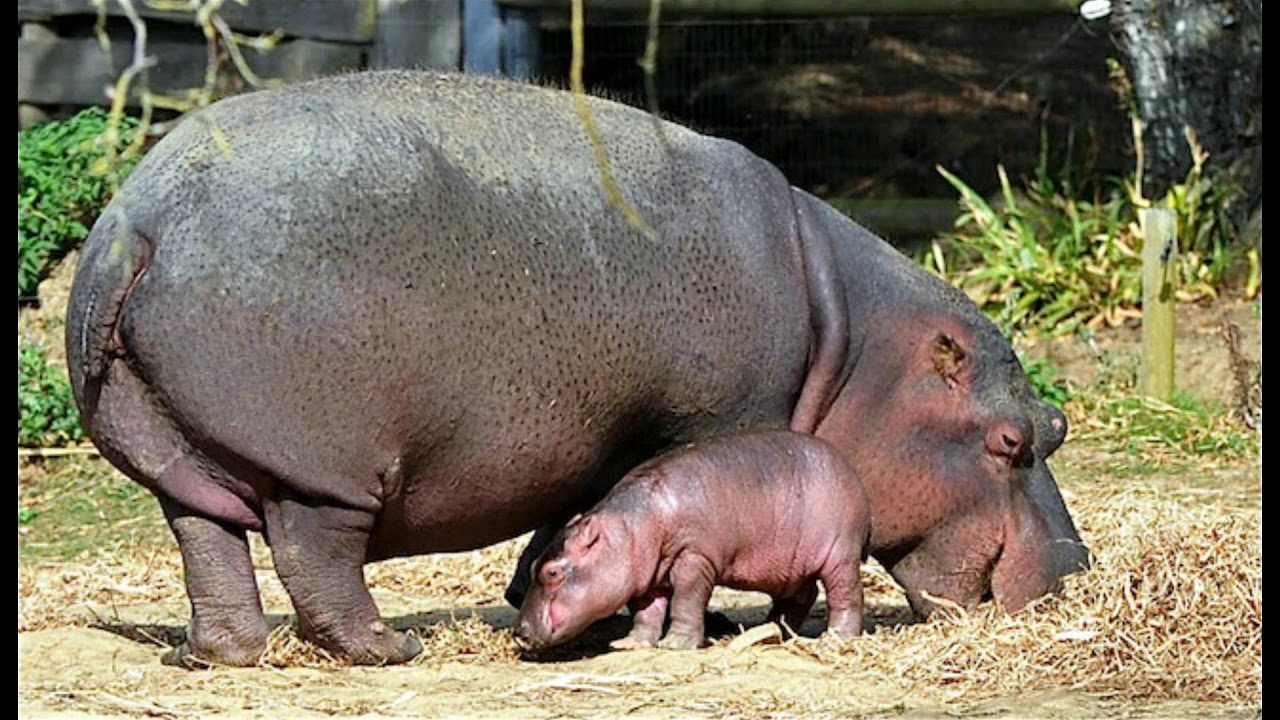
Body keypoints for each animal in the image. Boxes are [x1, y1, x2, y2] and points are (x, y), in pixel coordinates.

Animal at [512, 425, 870, 650]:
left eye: (553, 572)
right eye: (532, 568)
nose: (519, 632)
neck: (628, 529)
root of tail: (851, 471)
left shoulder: (694, 558)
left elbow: (686, 599)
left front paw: (675, 645)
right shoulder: (647, 576)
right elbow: (645, 612)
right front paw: (628, 644)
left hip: (840, 553)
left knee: (845, 592)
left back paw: (837, 638)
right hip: (789, 566)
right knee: (803, 595)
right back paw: (771, 631)